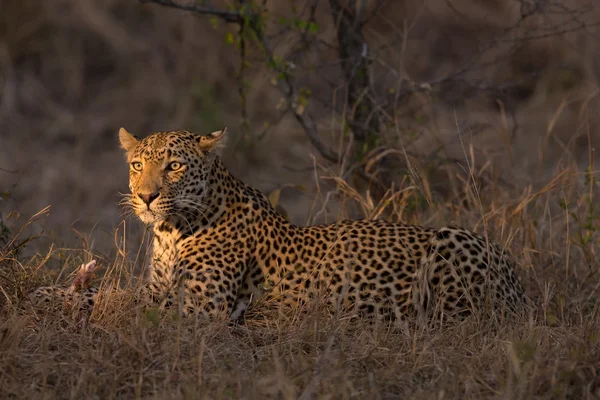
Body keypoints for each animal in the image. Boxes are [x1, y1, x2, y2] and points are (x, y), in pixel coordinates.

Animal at [30, 126, 532, 324]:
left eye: (173, 166)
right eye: (137, 165)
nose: (146, 196)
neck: (170, 231)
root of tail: (518, 282)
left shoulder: (202, 306)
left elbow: (121, 304)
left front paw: (66, 299)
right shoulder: (159, 285)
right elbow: (118, 292)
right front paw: (57, 289)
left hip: (451, 246)